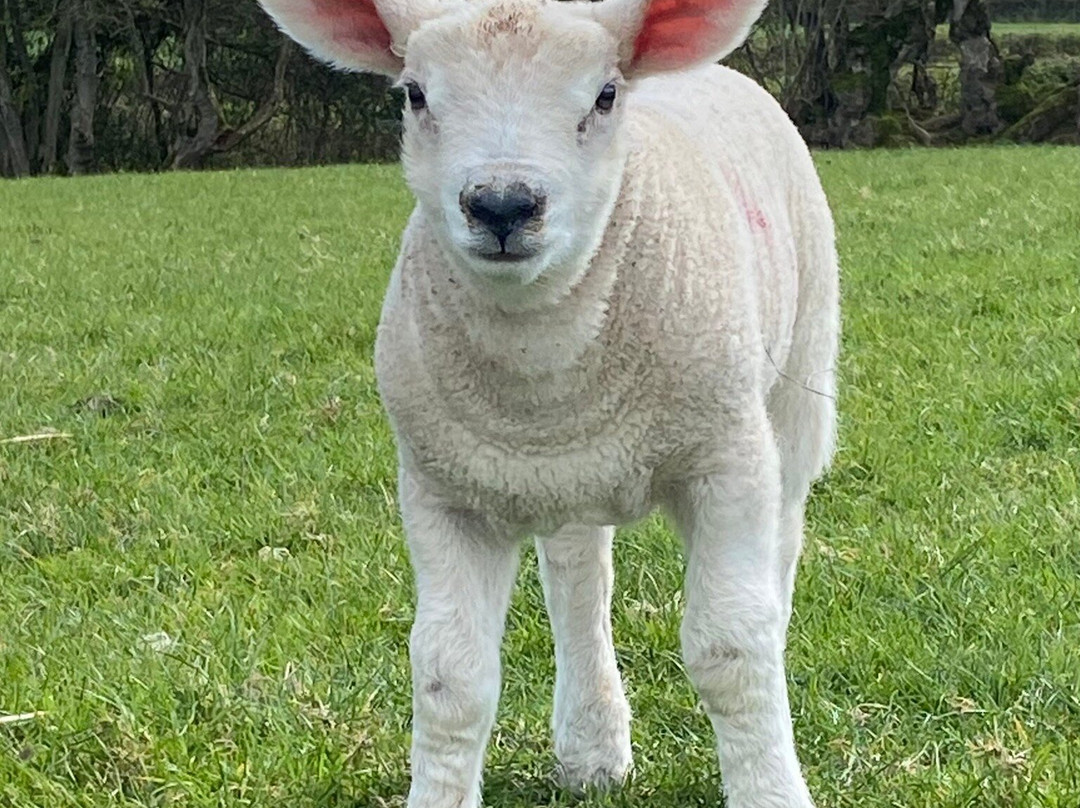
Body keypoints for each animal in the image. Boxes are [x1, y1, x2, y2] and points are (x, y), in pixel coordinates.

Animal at [257, 0, 840, 805]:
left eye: (605, 95)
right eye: (415, 94)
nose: (502, 204)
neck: (542, 357)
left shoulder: (727, 461)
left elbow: (730, 650)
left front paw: (770, 788)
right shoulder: (443, 490)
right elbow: (449, 675)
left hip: (796, 389)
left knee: (780, 546)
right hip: (564, 477)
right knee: (579, 580)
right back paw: (592, 747)